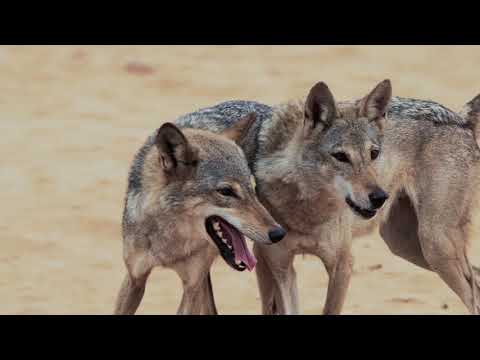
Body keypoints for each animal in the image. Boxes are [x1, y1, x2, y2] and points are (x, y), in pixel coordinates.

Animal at [112, 116, 284, 316]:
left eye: (252, 188)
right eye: (226, 191)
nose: (278, 233)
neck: (170, 242)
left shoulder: (191, 286)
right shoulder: (135, 279)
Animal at [174, 81, 480, 316]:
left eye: (374, 153)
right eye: (340, 156)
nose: (379, 197)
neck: (307, 207)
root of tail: (460, 119)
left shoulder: (342, 264)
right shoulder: (281, 267)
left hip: (434, 246)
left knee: (473, 292)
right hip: (411, 247)